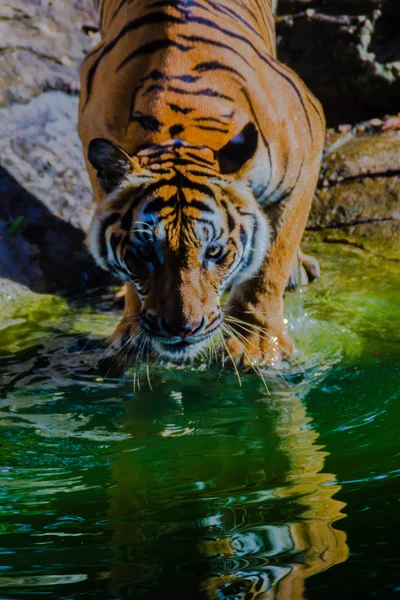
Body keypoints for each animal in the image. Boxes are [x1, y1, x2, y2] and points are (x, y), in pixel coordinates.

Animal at [79, 0, 324, 366]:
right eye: (144, 252)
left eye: (215, 251)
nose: (183, 329)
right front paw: (131, 336)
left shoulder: (306, 152)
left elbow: (270, 264)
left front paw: (255, 346)